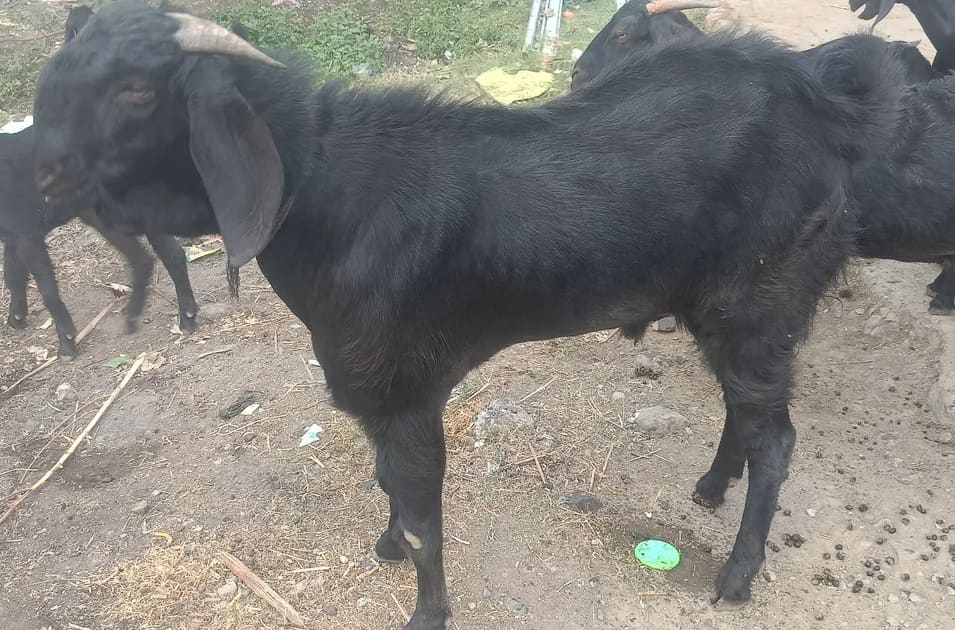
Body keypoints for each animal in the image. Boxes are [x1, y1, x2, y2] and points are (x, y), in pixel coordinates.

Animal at [0, 5, 199, 358]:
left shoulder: (27, 234)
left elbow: (47, 289)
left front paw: (66, 343)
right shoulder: (13, 234)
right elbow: (13, 274)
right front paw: (17, 318)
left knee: (162, 254)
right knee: (168, 254)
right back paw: (185, 317)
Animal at [29, 2, 907, 626]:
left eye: (137, 89)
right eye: (55, 74)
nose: (38, 173)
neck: (324, 194)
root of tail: (822, 100)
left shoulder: (408, 390)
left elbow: (421, 508)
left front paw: (425, 611)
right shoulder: (378, 397)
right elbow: (388, 484)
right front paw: (384, 545)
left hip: (761, 300)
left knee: (777, 438)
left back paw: (735, 573)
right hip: (725, 311)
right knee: (745, 414)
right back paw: (710, 486)